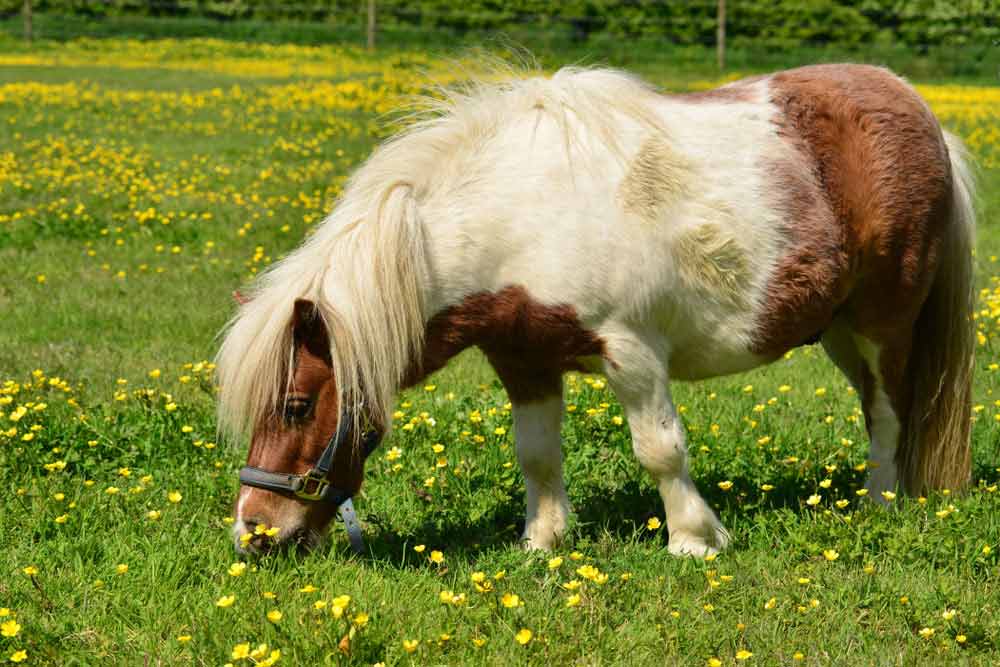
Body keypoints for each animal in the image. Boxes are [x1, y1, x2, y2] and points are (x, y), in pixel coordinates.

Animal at [217, 63, 976, 557]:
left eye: (294, 405)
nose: (253, 531)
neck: (518, 216)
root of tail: (922, 114)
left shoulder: (632, 353)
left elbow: (660, 449)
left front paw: (695, 541)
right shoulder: (523, 358)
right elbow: (536, 454)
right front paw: (542, 541)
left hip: (883, 323)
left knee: (890, 412)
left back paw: (879, 502)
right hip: (839, 330)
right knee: (875, 404)